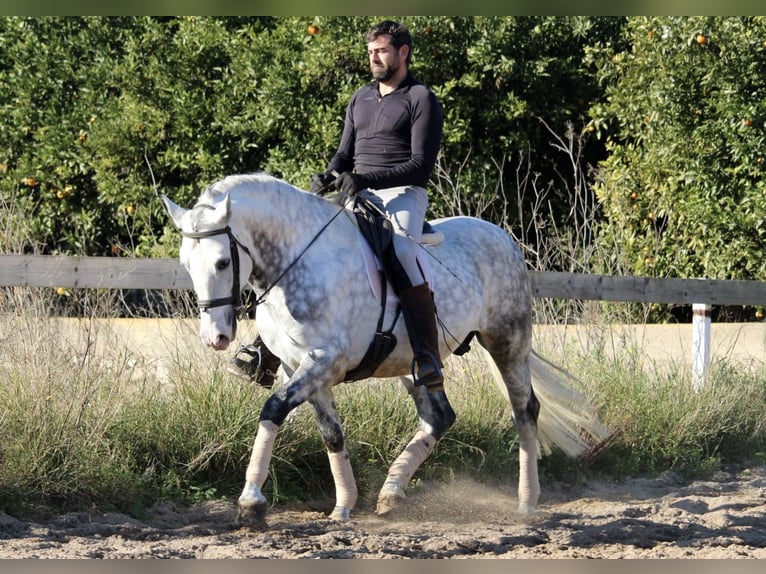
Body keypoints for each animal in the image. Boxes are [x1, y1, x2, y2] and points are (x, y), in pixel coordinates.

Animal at [164, 172, 612, 528]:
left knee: (525, 411)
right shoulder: (300, 368)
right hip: (413, 362)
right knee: (439, 416)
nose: (216, 337)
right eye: (185, 263)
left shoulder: (324, 362)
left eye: (223, 263)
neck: (296, 261)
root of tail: (500, 235)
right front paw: (343, 506)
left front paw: (251, 503)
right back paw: (392, 493)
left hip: (507, 341)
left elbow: (272, 410)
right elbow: (331, 433)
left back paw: (526, 502)